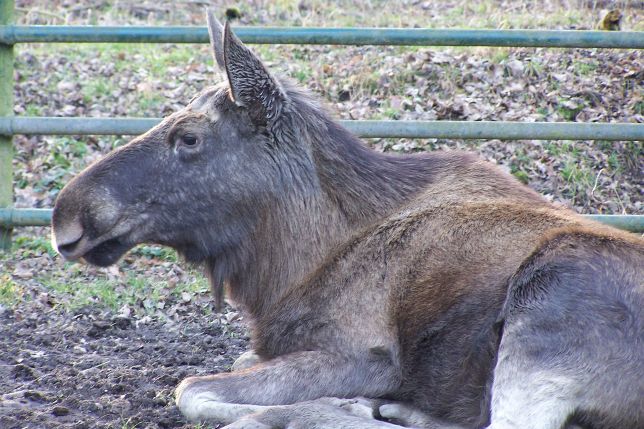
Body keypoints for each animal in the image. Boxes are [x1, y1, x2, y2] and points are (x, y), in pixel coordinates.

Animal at [51, 10, 644, 428]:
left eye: (189, 138)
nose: (66, 216)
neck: (289, 265)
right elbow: (233, 367)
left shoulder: (368, 355)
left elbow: (191, 389)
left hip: (549, 293)